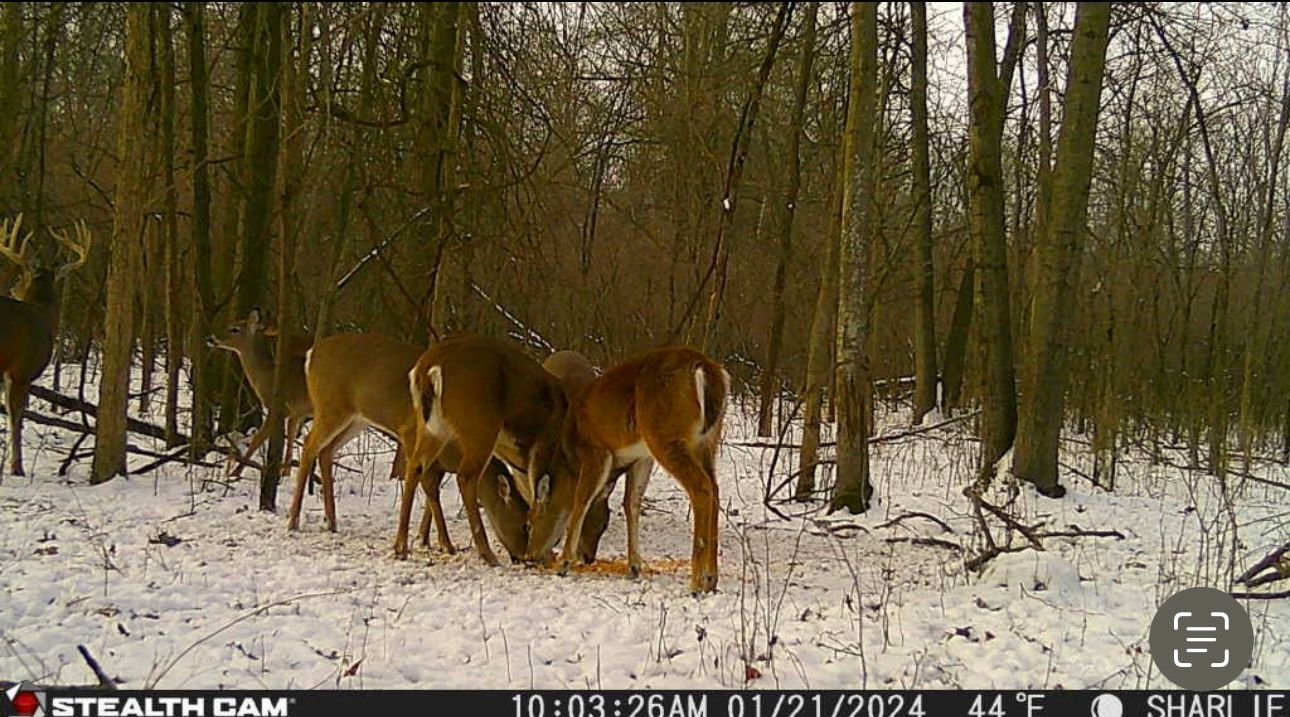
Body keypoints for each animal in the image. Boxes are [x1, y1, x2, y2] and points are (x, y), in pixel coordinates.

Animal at [0, 215, 92, 479]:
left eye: (22, 274)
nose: (14, 286)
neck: (42, 315)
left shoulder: (11, 373)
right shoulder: (21, 371)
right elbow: (16, 416)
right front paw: (17, 467)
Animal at [206, 309, 313, 479]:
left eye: (235, 329)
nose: (210, 338)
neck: (268, 374)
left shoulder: (278, 408)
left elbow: (257, 440)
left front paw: (235, 473)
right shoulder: (295, 411)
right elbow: (289, 439)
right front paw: (285, 473)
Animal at [285, 332, 526, 564]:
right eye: (523, 522)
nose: (520, 557)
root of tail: (311, 354)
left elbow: (431, 495)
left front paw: (428, 539)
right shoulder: (411, 434)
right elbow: (427, 488)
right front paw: (441, 543)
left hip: (356, 418)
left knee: (326, 451)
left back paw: (331, 522)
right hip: (331, 406)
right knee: (309, 445)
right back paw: (293, 521)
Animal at [396, 333, 570, 564]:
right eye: (525, 526)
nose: (526, 556)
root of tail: (429, 369)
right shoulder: (541, 447)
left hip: (434, 427)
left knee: (415, 466)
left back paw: (401, 547)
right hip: (480, 426)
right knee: (466, 477)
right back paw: (487, 554)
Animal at [525, 347, 728, 594]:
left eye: (529, 522)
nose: (529, 555)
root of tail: (705, 368)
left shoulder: (596, 449)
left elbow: (581, 500)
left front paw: (564, 563)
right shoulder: (641, 458)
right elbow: (631, 503)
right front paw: (634, 566)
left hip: (667, 436)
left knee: (701, 487)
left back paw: (698, 582)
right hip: (708, 441)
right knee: (715, 488)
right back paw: (712, 579)